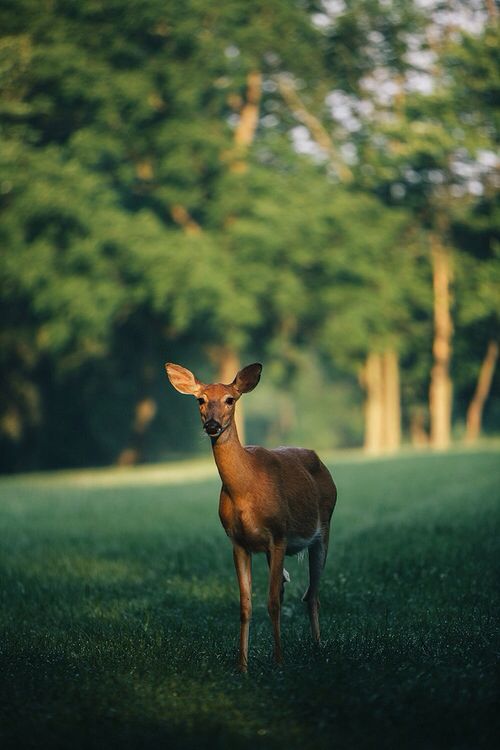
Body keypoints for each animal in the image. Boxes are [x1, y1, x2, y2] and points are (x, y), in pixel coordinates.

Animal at [165, 362, 336, 672]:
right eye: (200, 400)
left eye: (230, 399)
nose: (212, 426)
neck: (246, 489)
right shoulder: (237, 542)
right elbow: (245, 605)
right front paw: (242, 666)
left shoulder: (279, 535)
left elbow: (272, 603)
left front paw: (279, 661)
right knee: (290, 589)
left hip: (324, 527)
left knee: (312, 594)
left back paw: (318, 647)